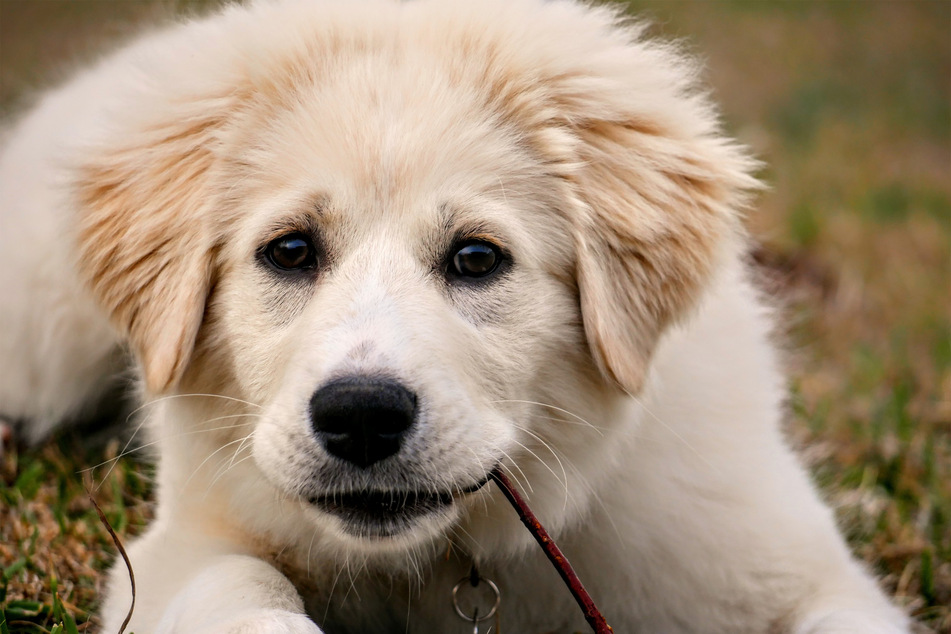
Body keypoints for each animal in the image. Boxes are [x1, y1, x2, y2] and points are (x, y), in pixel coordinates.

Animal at [0, 1, 912, 632]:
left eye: (476, 259)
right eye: (289, 251)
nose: (361, 416)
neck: (452, 555)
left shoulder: (791, 567)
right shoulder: (181, 548)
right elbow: (241, 592)